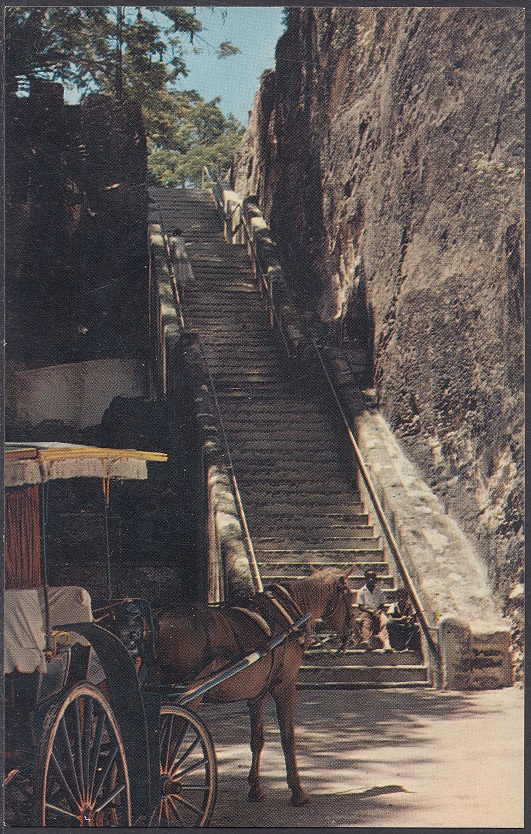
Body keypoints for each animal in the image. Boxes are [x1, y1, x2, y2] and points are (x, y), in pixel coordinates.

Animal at [154, 567, 355, 807]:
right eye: (349, 596)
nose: (351, 632)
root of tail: (159, 621)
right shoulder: (285, 687)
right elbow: (288, 738)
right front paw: (297, 791)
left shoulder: (257, 696)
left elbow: (257, 740)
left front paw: (256, 788)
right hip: (188, 698)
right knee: (168, 750)